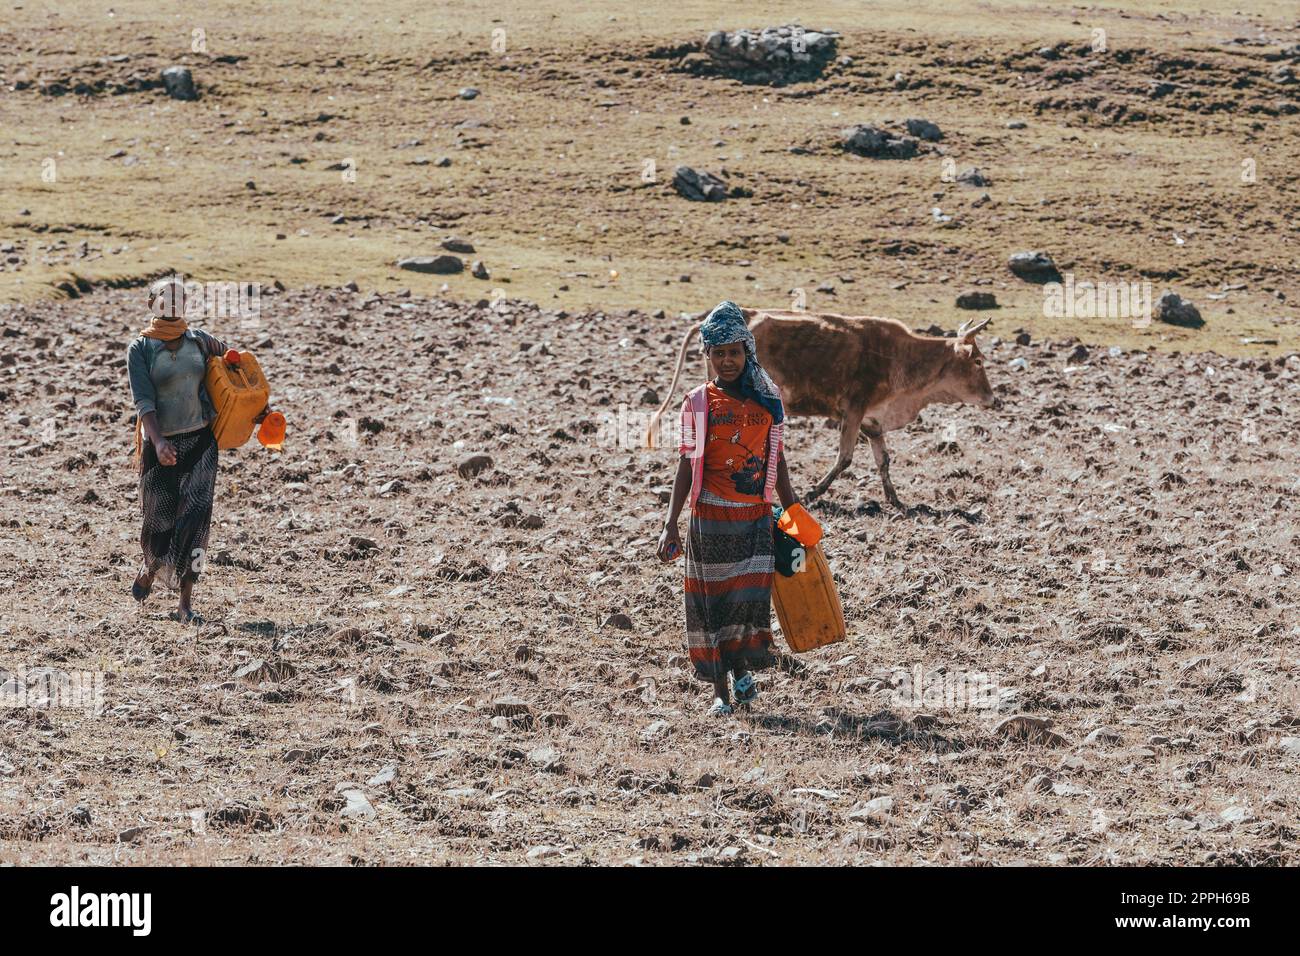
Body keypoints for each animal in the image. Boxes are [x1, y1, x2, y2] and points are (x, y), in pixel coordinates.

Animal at [642, 310, 993, 512]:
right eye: (978, 360)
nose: (992, 398)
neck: (901, 357)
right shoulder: (853, 409)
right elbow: (845, 458)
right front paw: (813, 492)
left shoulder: (872, 419)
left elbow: (883, 460)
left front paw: (895, 500)